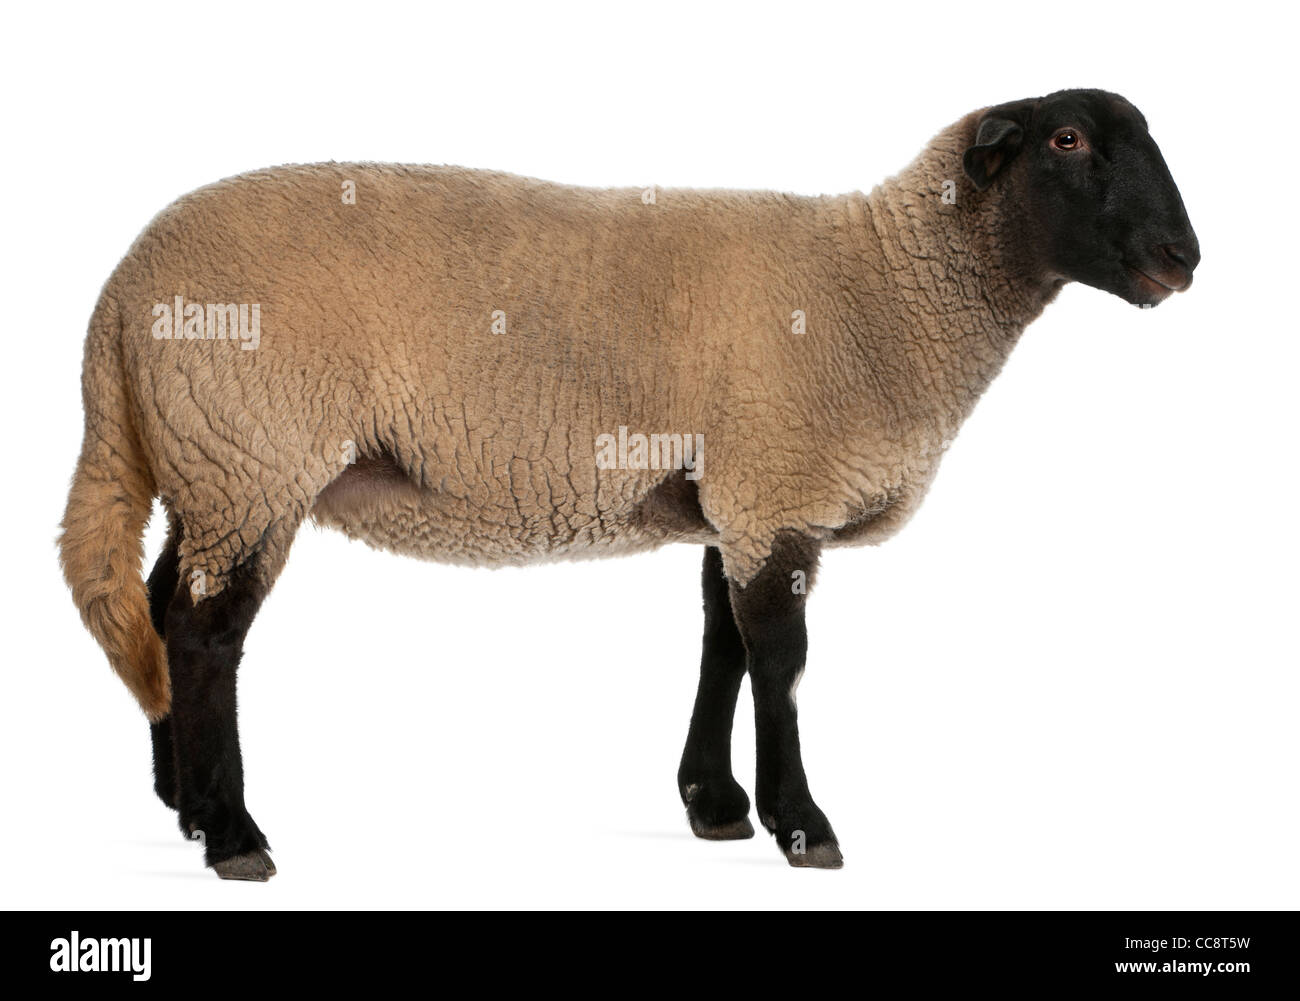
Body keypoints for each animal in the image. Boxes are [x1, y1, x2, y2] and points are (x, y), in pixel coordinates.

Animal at [60, 88, 1198, 879]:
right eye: (1067, 142)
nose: (1183, 256)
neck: (886, 290)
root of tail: (117, 303)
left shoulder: (733, 495)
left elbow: (723, 645)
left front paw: (714, 802)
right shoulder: (776, 487)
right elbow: (781, 660)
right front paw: (801, 824)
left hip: (205, 463)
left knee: (158, 606)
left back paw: (184, 802)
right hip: (251, 457)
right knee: (205, 634)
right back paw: (233, 832)